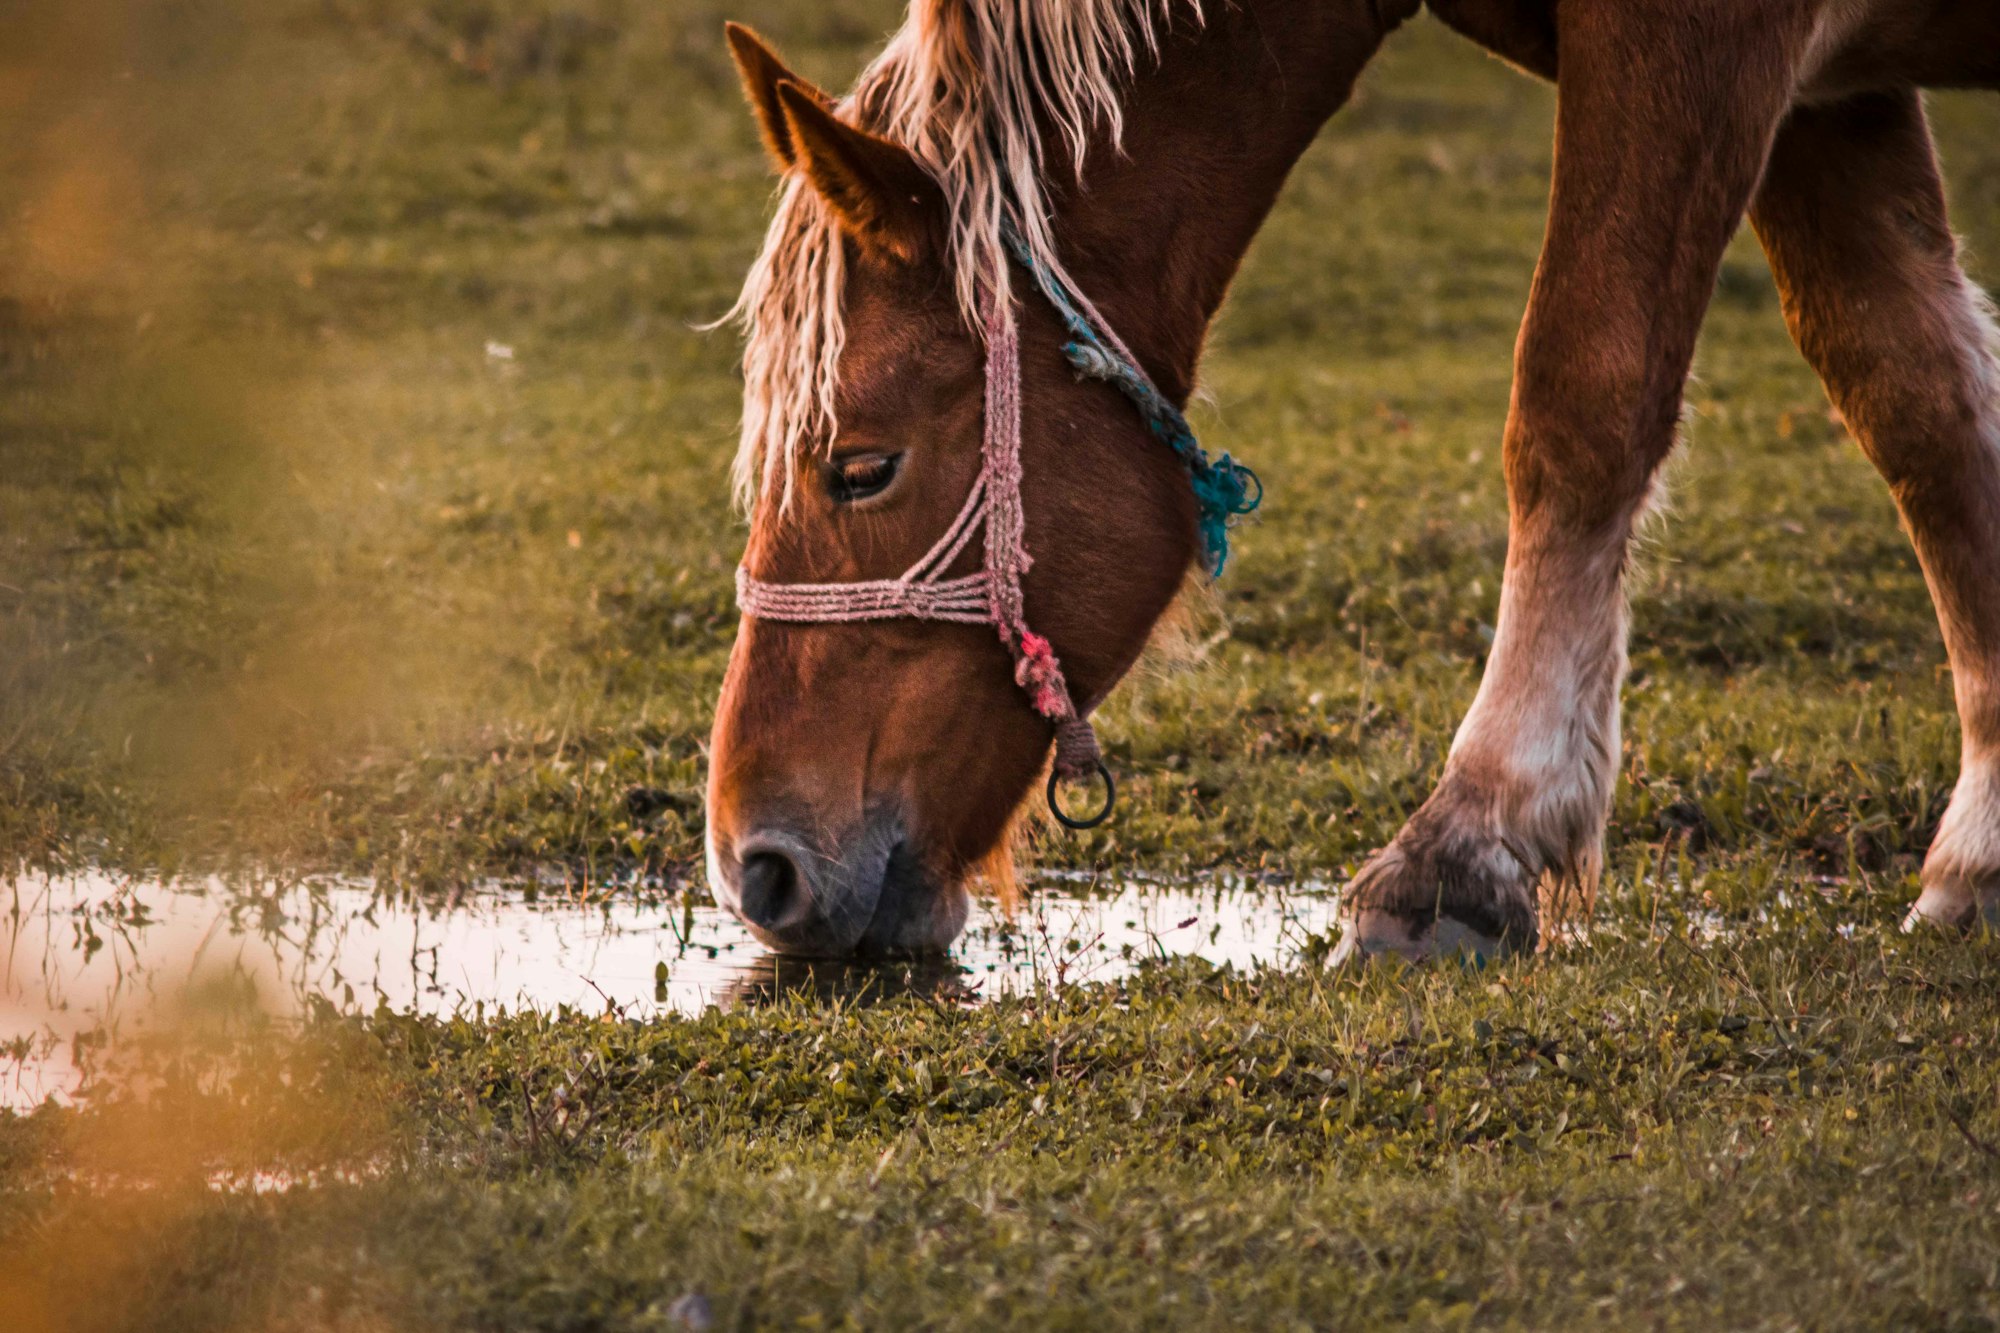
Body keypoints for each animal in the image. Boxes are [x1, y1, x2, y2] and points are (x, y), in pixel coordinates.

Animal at [700, 0, 2000, 956]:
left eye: (860, 468)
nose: (755, 868)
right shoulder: (1824, 95)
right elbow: (1918, 400)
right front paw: (1981, 844)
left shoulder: (1698, 44)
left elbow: (1580, 395)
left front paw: (1464, 847)